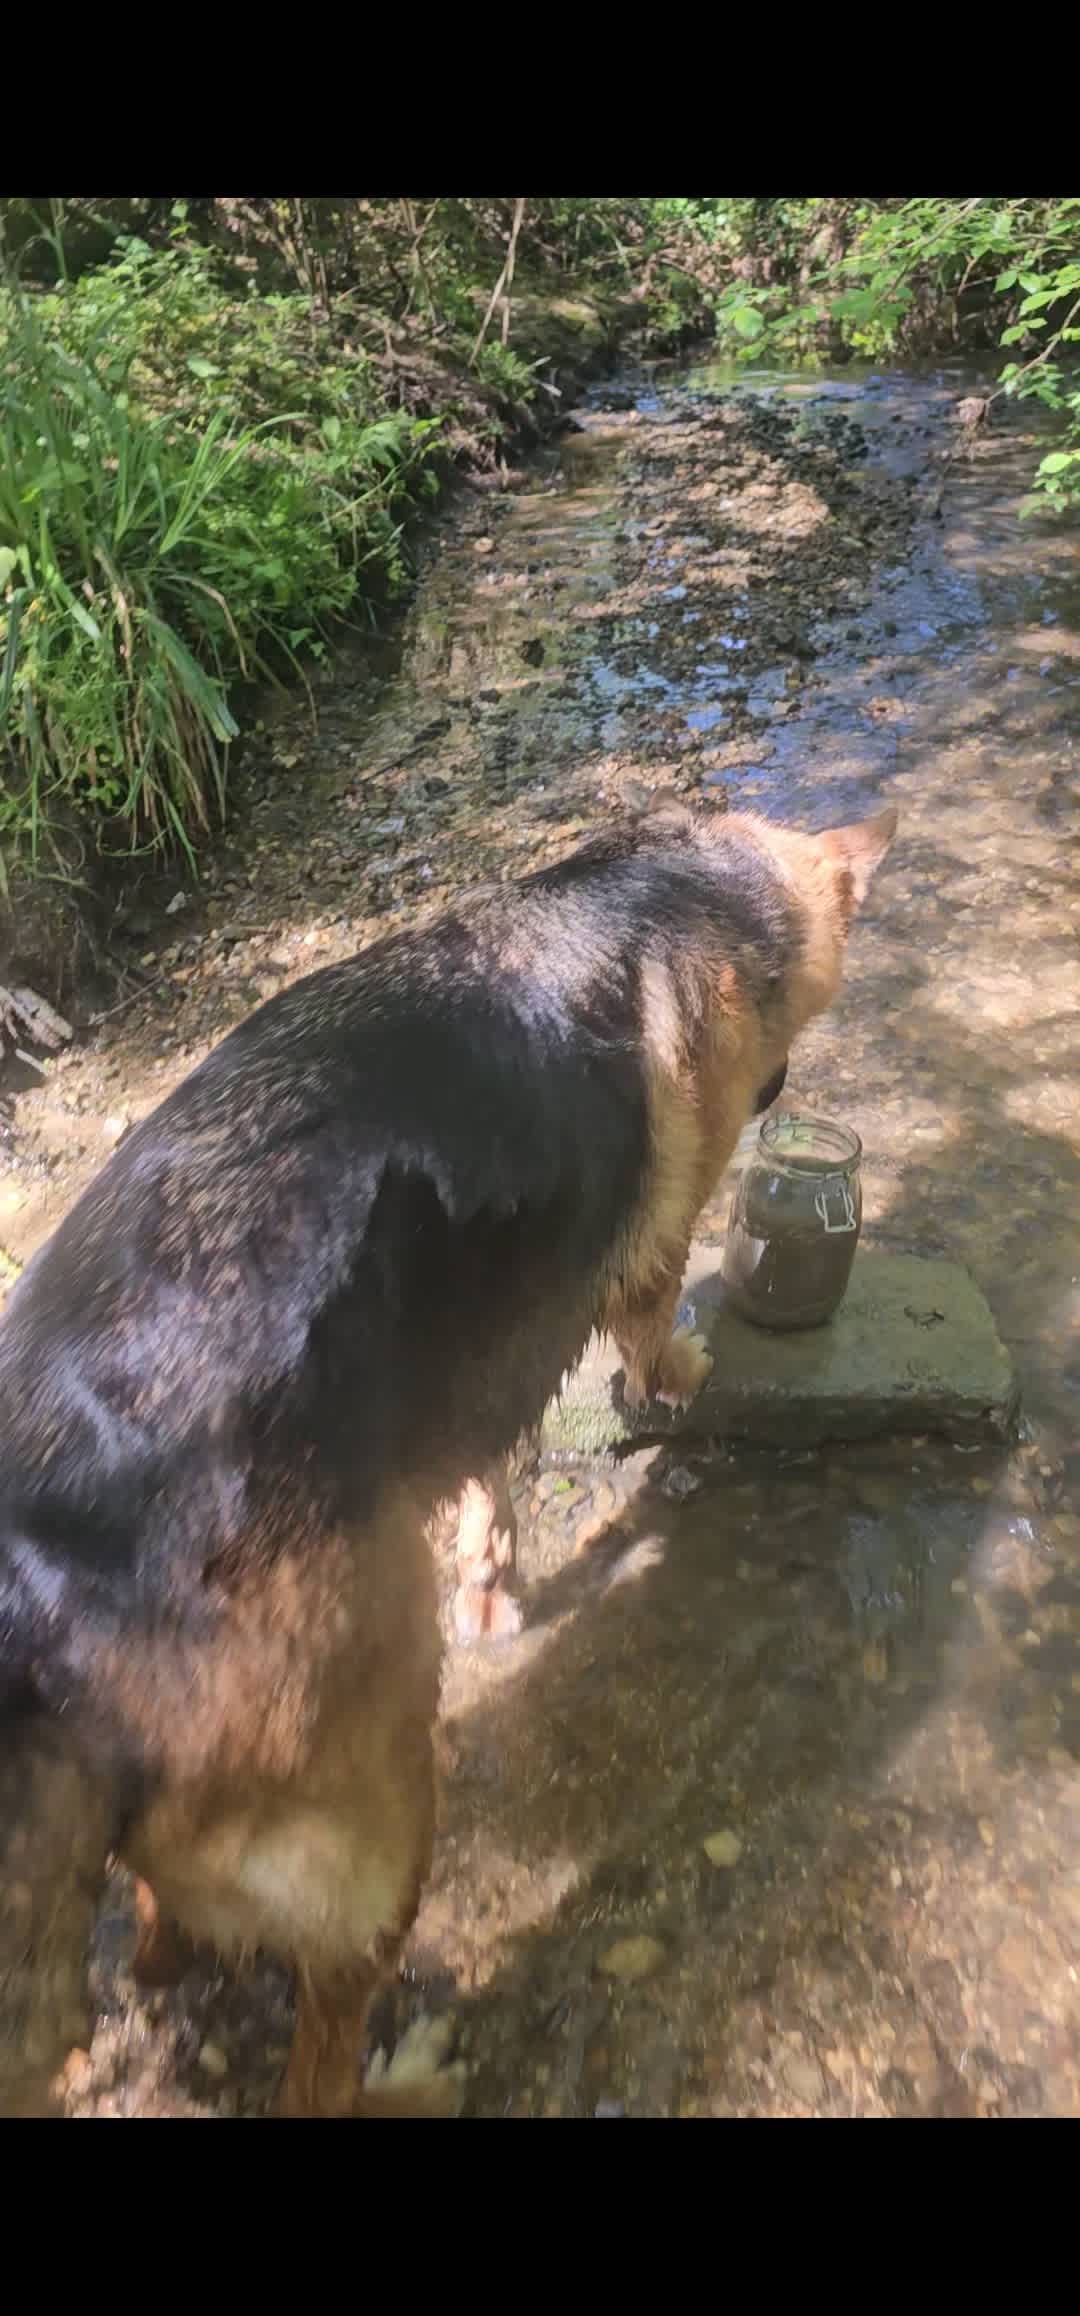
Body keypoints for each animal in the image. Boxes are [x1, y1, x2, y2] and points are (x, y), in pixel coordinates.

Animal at [0, 796, 894, 2121]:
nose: (781, 1088)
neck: (668, 886)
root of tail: (51, 1588)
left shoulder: (472, 1375)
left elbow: (488, 1480)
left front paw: (493, 1581)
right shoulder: (644, 1255)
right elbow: (652, 1324)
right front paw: (679, 1371)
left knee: (169, 1930)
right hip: (374, 1800)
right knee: (322, 2055)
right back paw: (408, 2072)